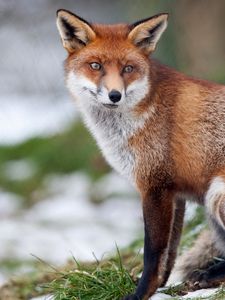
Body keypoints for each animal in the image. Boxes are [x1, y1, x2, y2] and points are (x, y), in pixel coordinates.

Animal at [55, 9, 225, 300]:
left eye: (127, 68)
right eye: (96, 66)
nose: (114, 95)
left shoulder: (155, 187)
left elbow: (152, 253)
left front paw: (139, 294)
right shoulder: (174, 194)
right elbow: (169, 254)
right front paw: (160, 287)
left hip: (216, 194)